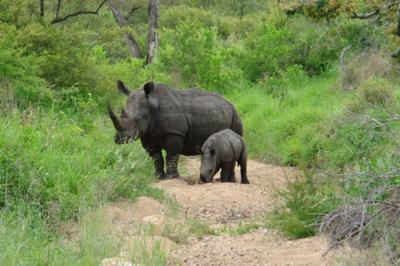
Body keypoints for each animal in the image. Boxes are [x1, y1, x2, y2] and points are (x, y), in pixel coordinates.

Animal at [108, 80, 242, 179]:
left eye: (138, 119)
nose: (120, 139)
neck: (152, 105)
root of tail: (230, 103)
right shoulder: (147, 134)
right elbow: (156, 157)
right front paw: (158, 177)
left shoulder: (175, 133)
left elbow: (172, 154)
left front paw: (171, 177)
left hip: (235, 116)